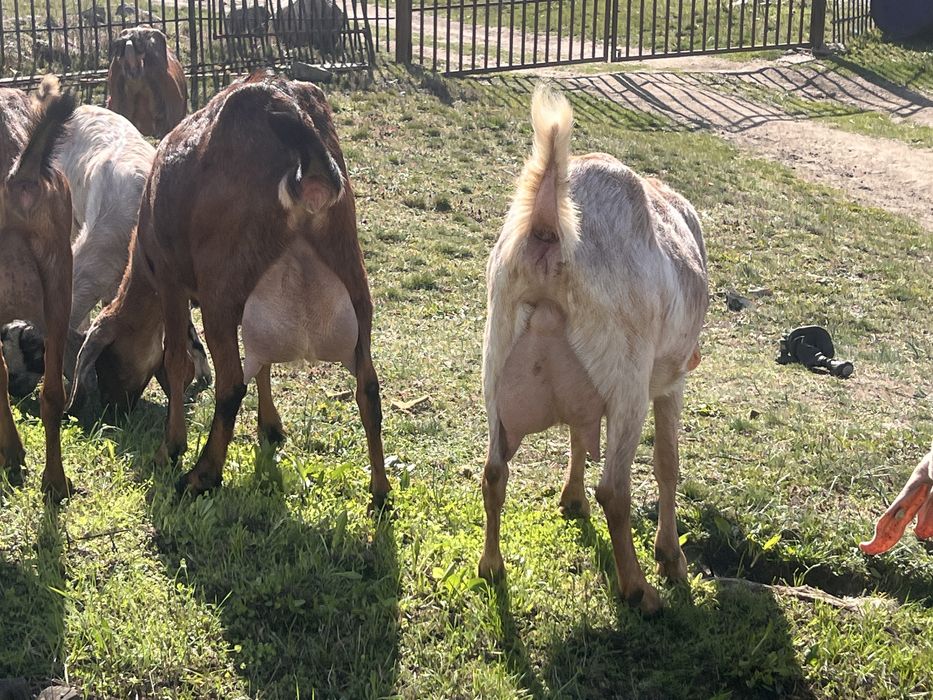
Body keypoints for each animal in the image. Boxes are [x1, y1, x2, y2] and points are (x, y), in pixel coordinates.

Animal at [70, 72, 389, 503]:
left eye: (107, 360)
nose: (115, 409)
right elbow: (265, 361)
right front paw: (271, 428)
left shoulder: (171, 281)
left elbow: (177, 360)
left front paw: (170, 447)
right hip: (353, 279)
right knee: (368, 385)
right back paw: (381, 490)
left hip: (220, 290)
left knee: (231, 384)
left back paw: (202, 474)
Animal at [479, 85, 708, 614]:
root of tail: (547, 230)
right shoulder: (669, 383)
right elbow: (667, 463)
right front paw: (671, 557)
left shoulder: (582, 396)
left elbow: (580, 436)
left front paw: (570, 499)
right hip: (628, 381)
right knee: (616, 490)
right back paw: (639, 589)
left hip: (496, 363)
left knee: (494, 472)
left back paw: (491, 566)